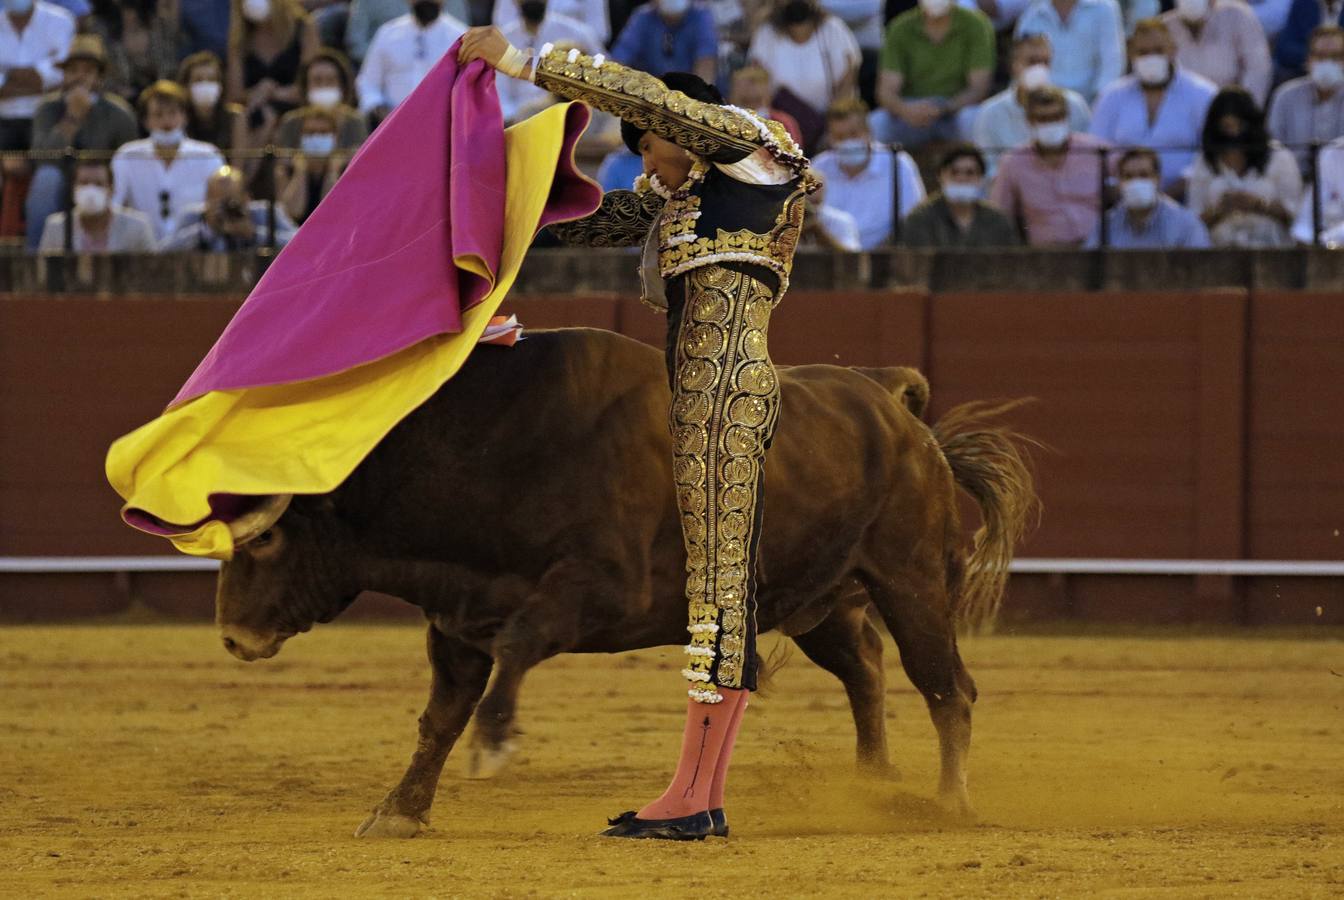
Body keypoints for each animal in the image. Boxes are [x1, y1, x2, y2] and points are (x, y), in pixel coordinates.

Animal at [215, 327, 1032, 843]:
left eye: (267, 537)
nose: (231, 636)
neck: (489, 456)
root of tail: (893, 404)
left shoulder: (602, 592)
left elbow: (520, 645)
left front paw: (496, 743)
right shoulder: (457, 621)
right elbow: (438, 719)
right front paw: (400, 810)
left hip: (911, 580)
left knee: (945, 687)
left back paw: (948, 802)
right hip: (816, 601)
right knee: (865, 667)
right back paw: (872, 785)